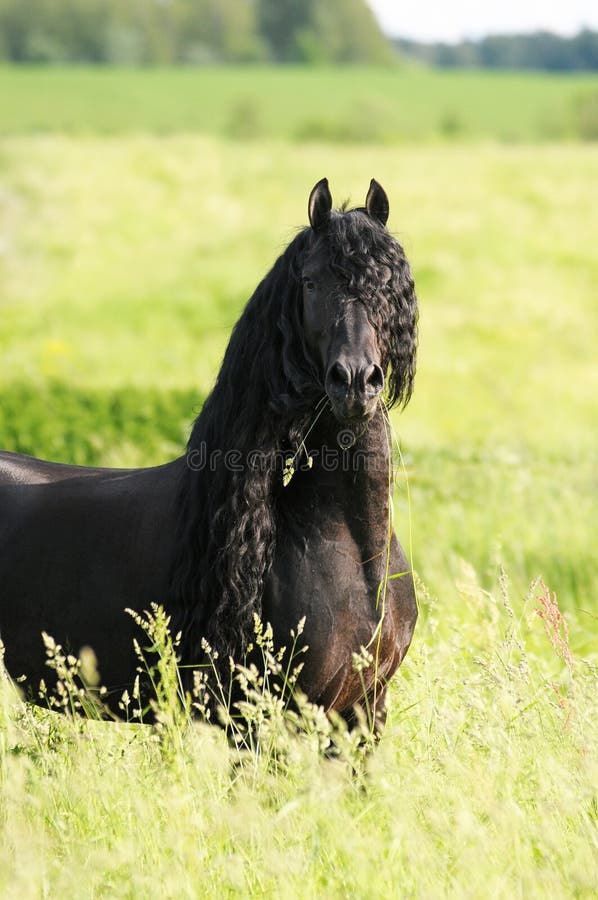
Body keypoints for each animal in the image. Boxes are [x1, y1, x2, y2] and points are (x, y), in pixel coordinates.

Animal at [0, 178, 420, 732]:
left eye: (390, 282)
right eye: (310, 282)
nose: (354, 381)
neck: (350, 547)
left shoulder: (364, 713)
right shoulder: (267, 721)